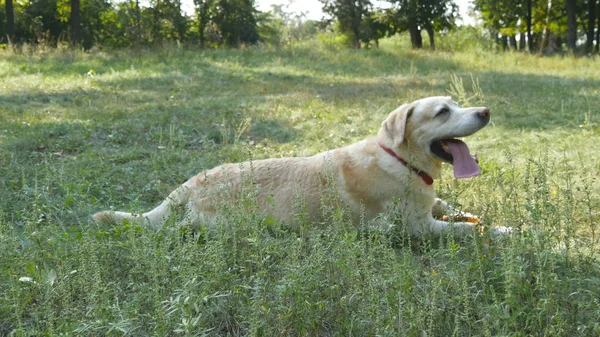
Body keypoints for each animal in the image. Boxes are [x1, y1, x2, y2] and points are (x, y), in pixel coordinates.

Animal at [94, 96, 510, 235]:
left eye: (456, 103)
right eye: (443, 111)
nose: (486, 111)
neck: (401, 160)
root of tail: (192, 182)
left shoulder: (430, 205)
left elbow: (458, 210)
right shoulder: (418, 228)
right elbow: (469, 230)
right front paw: (505, 232)